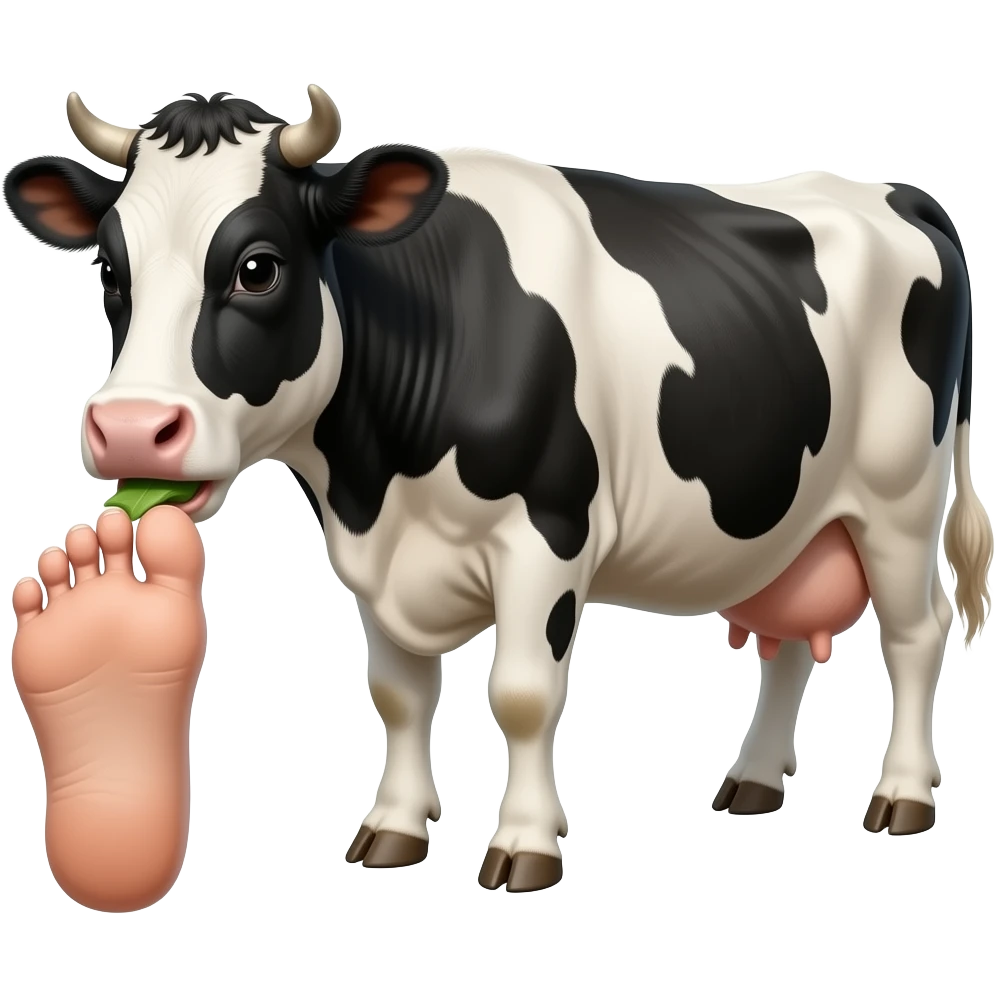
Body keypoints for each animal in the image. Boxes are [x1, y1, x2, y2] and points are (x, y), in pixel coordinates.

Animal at [3, 87, 991, 893]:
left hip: (901, 503)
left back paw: (903, 796)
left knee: (915, 635)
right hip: (794, 515)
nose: (132, 427)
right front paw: (393, 830)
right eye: (110, 270)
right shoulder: (377, 561)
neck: (374, 477)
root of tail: (899, 194)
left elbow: (521, 693)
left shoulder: (546, 533)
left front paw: (524, 847)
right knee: (788, 642)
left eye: (258, 266)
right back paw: (751, 781)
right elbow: (399, 695)